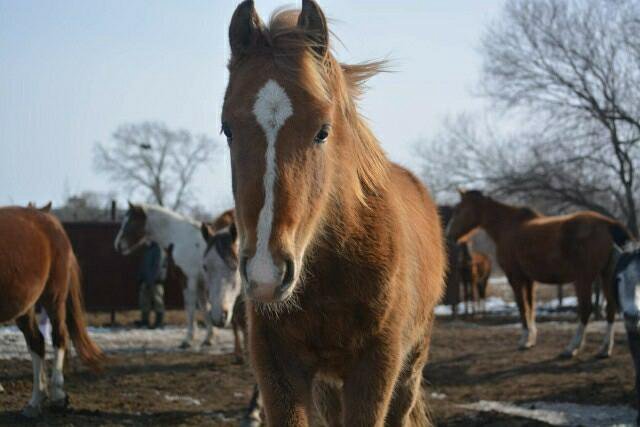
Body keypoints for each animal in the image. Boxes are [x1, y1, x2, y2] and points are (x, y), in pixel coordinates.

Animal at [0, 206, 102, 416]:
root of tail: (49, 219)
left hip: (54, 297)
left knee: (59, 337)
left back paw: (57, 396)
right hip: (25, 307)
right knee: (36, 342)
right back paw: (36, 400)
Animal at [114, 203, 212, 348]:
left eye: (131, 221)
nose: (118, 245)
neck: (181, 238)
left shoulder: (188, 280)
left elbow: (190, 308)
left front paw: (187, 340)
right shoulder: (199, 284)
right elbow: (205, 308)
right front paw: (208, 338)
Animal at [221, 2, 444, 424]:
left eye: (323, 130)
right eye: (227, 128)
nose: (265, 274)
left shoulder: (376, 367)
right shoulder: (278, 367)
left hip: (409, 367)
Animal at [448, 191, 632, 358]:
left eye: (459, 210)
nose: (449, 235)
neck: (508, 226)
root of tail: (607, 223)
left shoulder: (515, 278)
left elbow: (522, 307)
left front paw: (524, 340)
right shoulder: (530, 280)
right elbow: (531, 306)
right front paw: (531, 339)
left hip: (584, 279)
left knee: (586, 309)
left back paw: (572, 348)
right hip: (605, 275)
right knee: (610, 308)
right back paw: (605, 349)